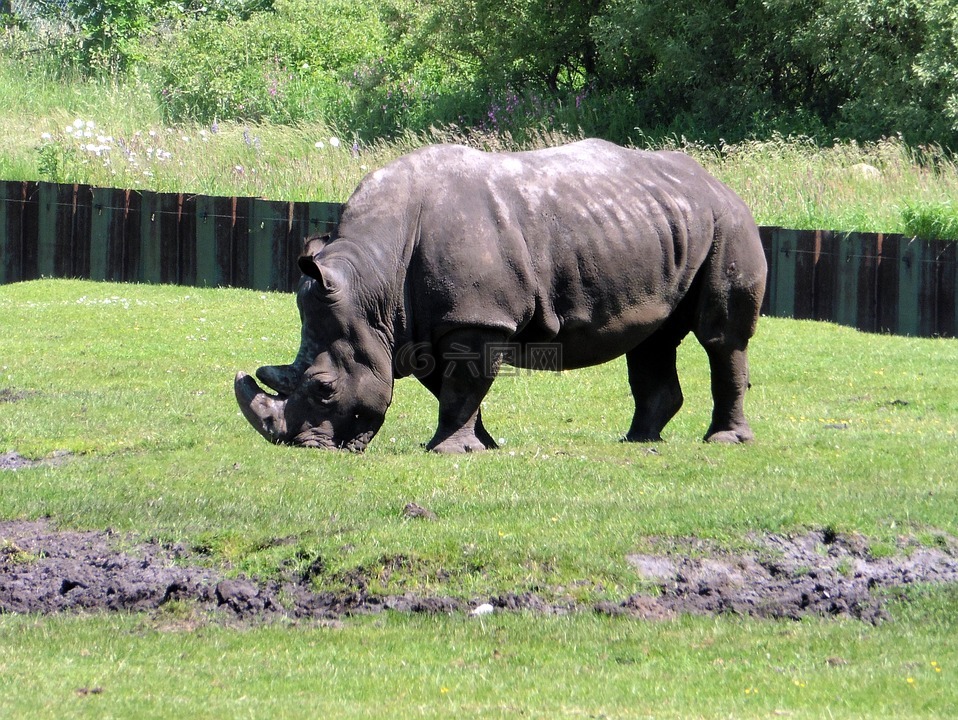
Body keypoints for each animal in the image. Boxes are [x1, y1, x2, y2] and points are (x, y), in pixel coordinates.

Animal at [236, 139, 768, 452]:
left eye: (325, 388)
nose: (306, 447)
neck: (373, 284)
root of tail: (718, 181)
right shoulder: (428, 323)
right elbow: (452, 387)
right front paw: (482, 446)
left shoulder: (477, 316)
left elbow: (460, 386)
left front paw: (447, 451)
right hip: (664, 225)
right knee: (651, 339)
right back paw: (638, 440)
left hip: (728, 221)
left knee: (721, 338)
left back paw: (724, 442)